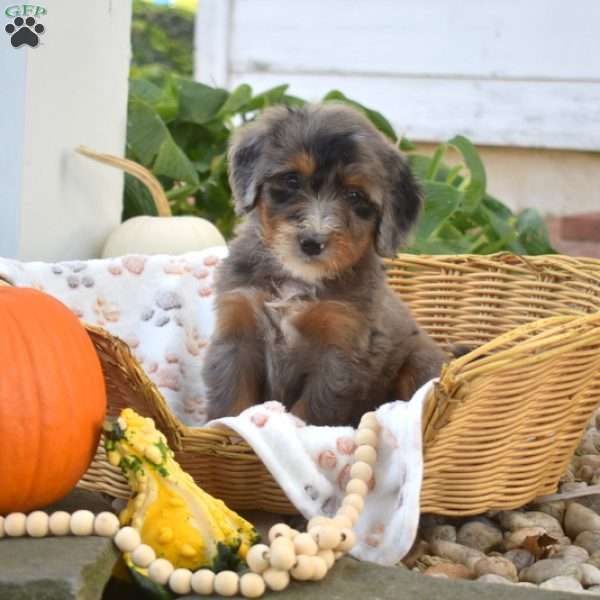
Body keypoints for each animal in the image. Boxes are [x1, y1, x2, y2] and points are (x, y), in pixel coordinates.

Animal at [204, 102, 448, 426]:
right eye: (292, 180)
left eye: (354, 195)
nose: (312, 241)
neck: (298, 278)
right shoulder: (237, 329)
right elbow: (233, 402)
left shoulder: (338, 352)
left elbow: (310, 413)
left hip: (419, 363)